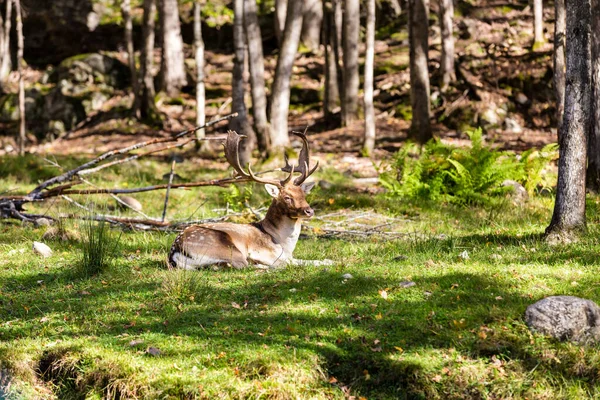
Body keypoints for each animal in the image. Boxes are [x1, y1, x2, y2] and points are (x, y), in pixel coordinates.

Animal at [168, 130, 332, 270]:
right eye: (287, 197)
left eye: (303, 195)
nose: (309, 211)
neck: (283, 244)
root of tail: (175, 251)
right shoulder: (264, 252)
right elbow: (285, 263)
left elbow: (314, 260)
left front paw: (329, 261)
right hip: (227, 248)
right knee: (241, 264)